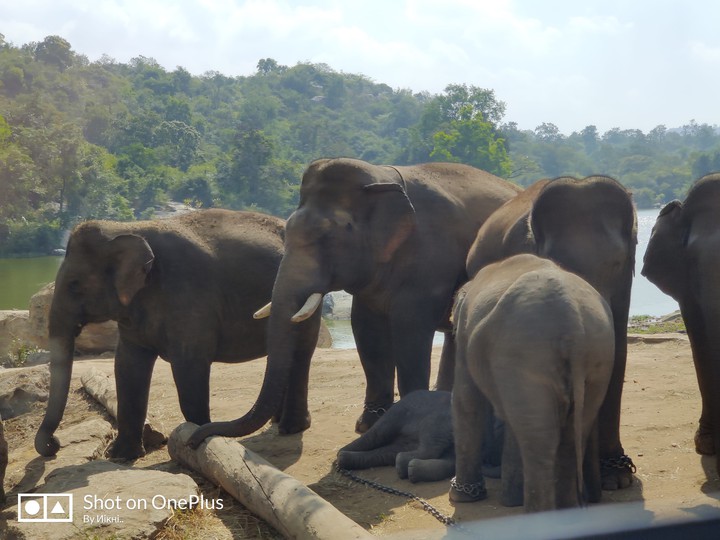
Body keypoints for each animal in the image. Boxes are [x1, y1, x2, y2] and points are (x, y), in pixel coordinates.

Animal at [34, 209, 321, 460]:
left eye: (74, 285)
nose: (54, 445)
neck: (128, 227)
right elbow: (127, 366)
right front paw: (122, 456)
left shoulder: (190, 296)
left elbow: (189, 367)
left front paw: (200, 441)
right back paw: (278, 420)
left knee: (301, 353)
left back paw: (291, 427)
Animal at [187, 157, 521, 448]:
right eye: (287, 232)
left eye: (328, 236)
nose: (195, 439)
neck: (380, 175)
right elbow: (366, 329)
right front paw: (368, 424)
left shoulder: (432, 261)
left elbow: (410, 329)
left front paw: (408, 415)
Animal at [450, 254, 615, 512]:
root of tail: (572, 322)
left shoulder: (466, 337)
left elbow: (466, 401)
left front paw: (461, 497)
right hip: (599, 353)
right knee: (571, 433)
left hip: (526, 353)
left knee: (540, 442)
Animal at [459, 175, 637, 491]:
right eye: (557, 262)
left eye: (617, 264)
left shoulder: (624, 283)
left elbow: (618, 349)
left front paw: (617, 478)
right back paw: (493, 465)